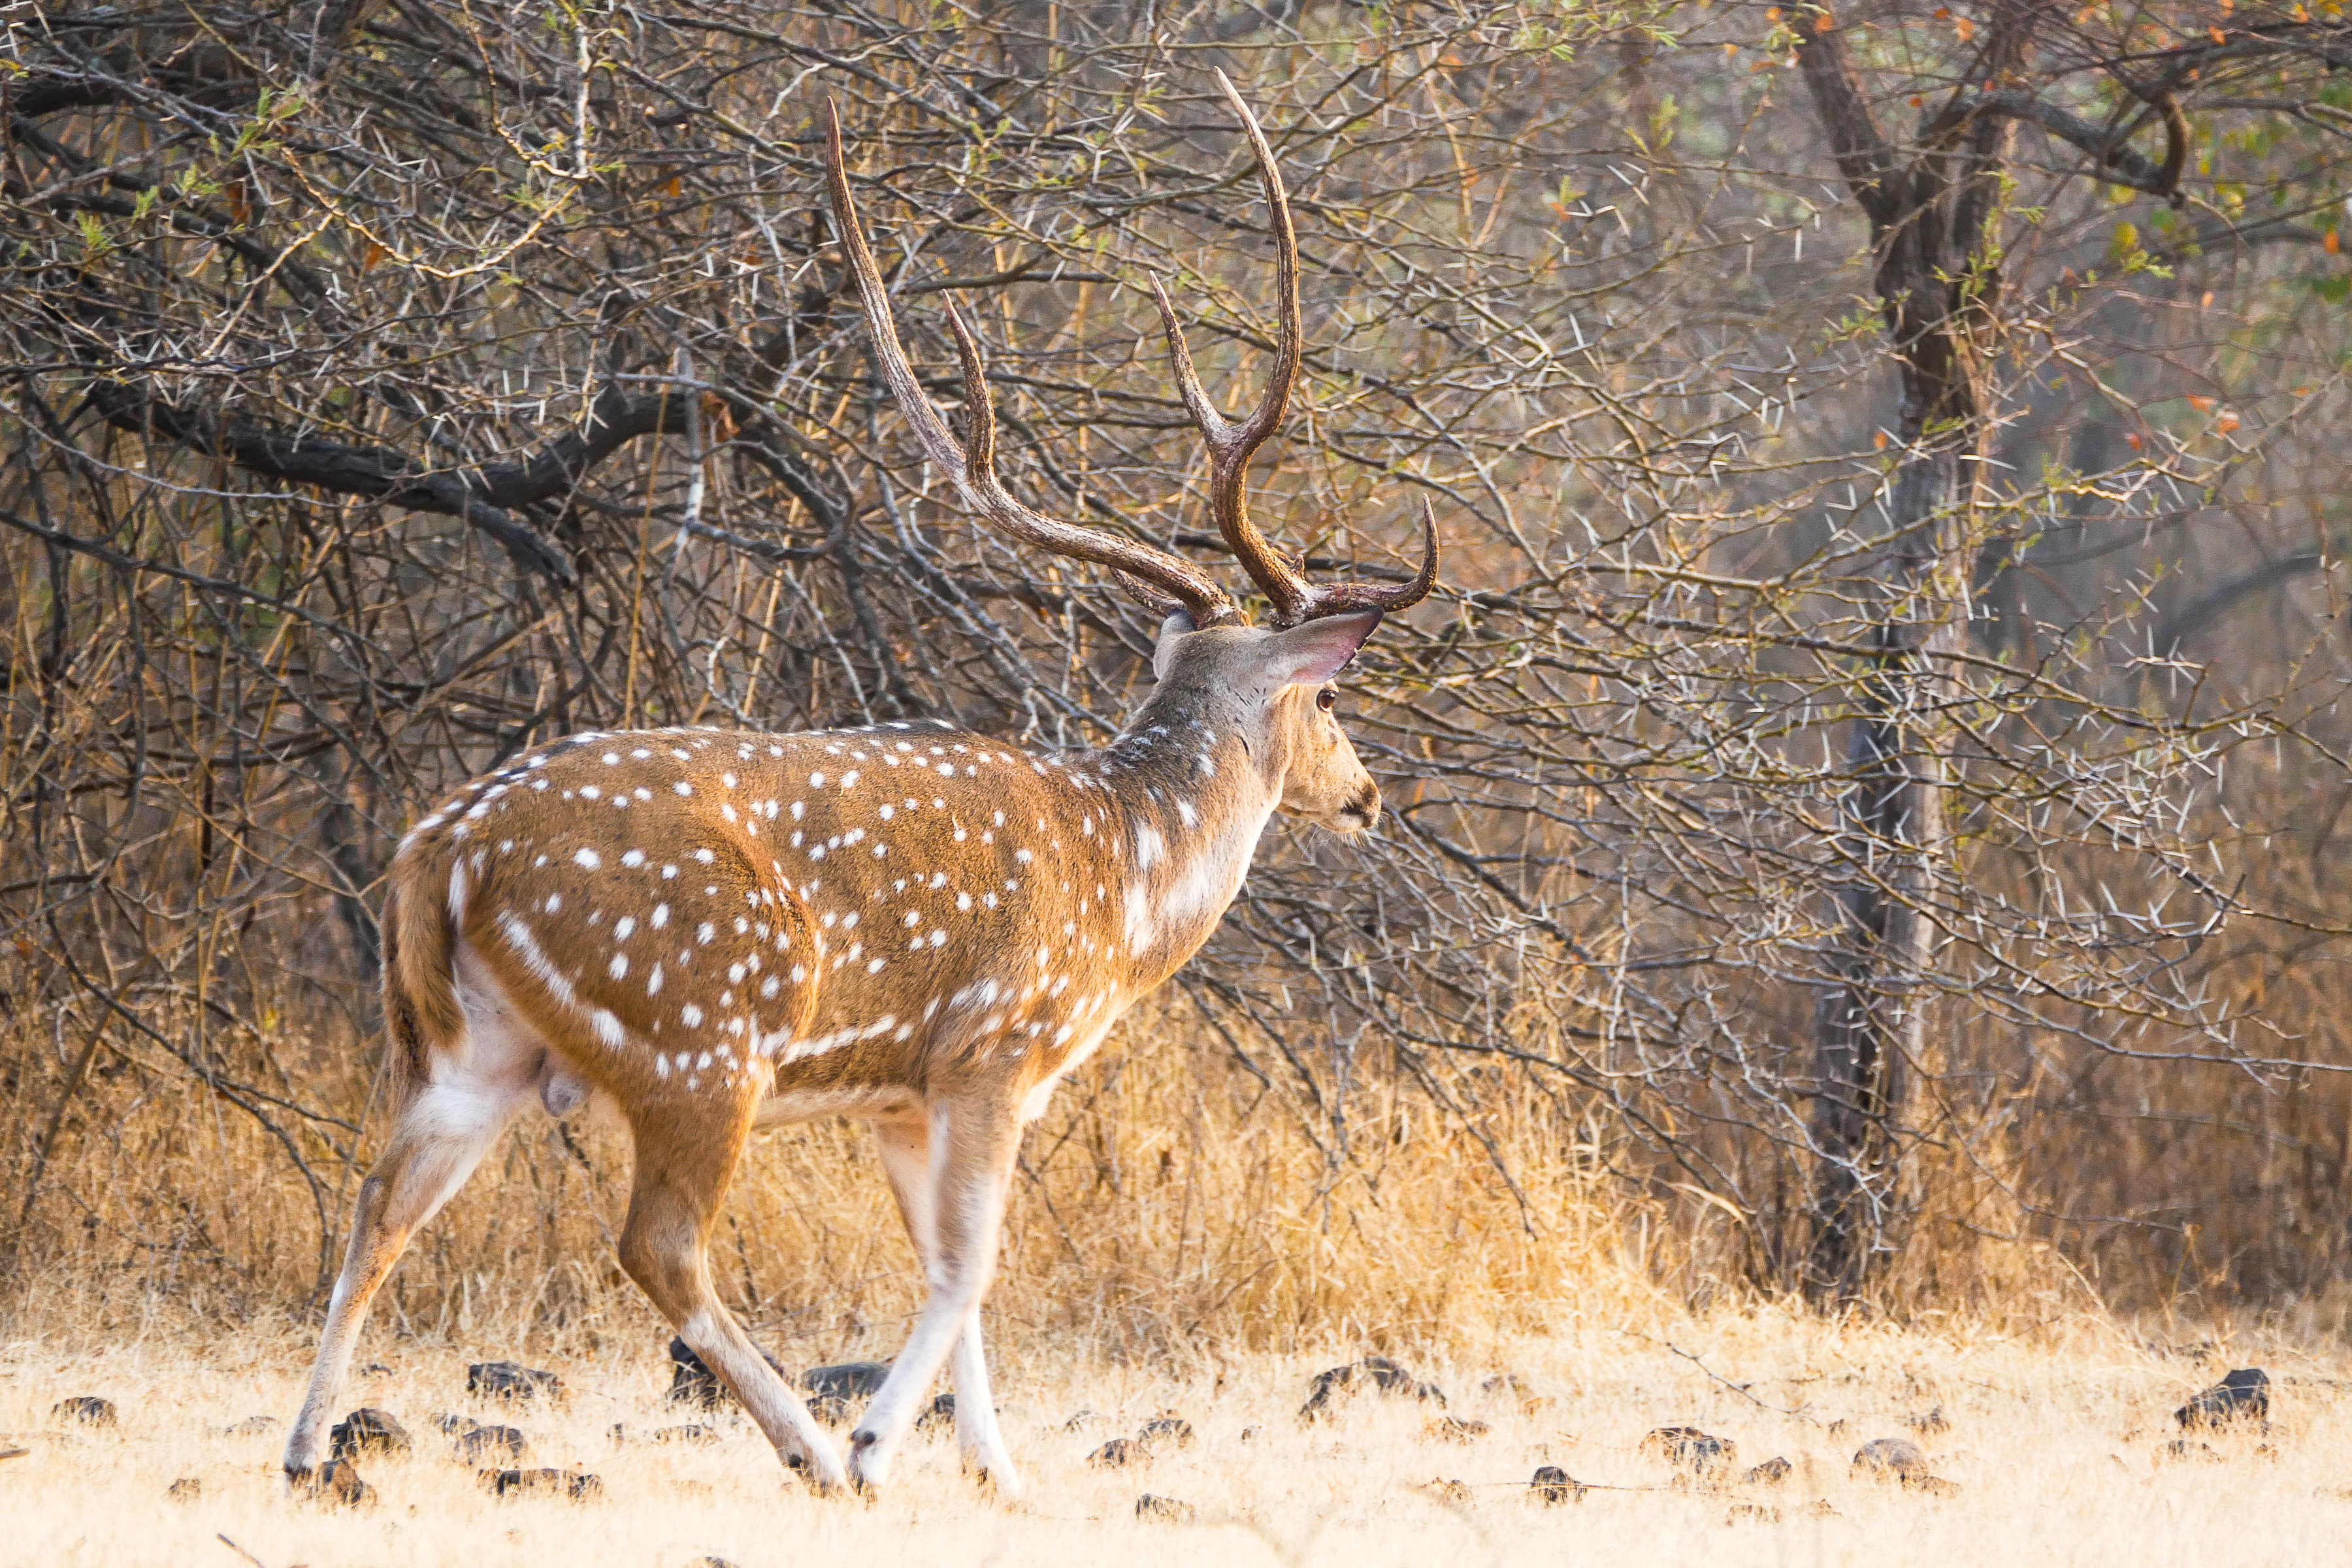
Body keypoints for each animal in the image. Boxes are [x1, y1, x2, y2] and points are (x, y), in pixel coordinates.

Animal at [280, 73, 1437, 1500]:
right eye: (1327, 699)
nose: (1370, 795)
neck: (1129, 885)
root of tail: (440, 852)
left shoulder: (903, 1088)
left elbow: (955, 1269)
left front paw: (998, 1472)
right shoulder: (997, 1044)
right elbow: (978, 1259)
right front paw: (891, 1444)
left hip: (473, 1050)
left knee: (378, 1201)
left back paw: (307, 1448)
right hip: (697, 1032)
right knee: (656, 1243)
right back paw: (815, 1449)